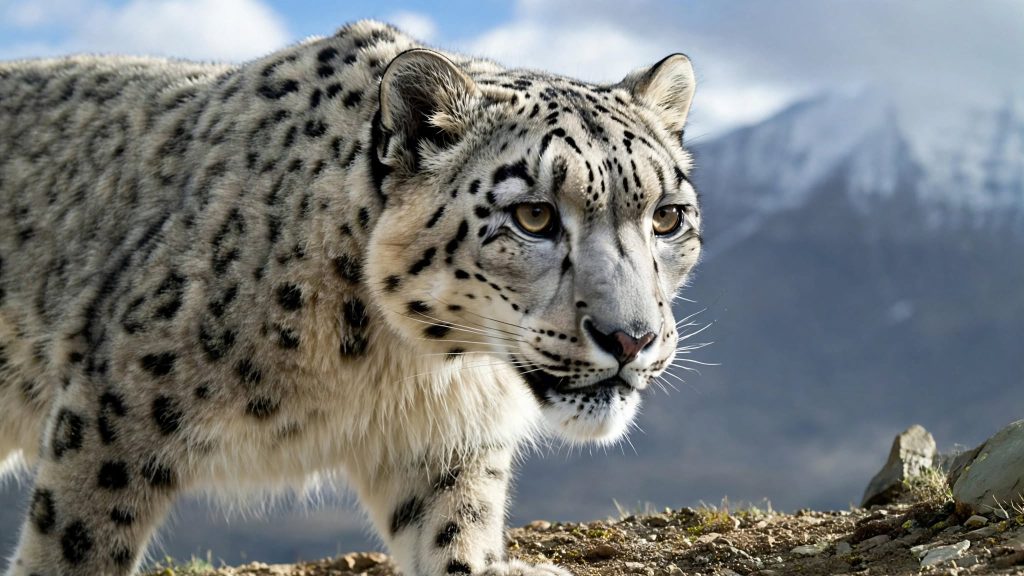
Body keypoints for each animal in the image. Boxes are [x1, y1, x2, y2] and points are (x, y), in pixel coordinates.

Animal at [0, 19, 702, 576]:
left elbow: (454, 536)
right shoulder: (116, 410)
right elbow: (78, 539)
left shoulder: (447, 446)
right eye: (533, 216)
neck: (397, 365)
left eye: (668, 217)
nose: (631, 339)